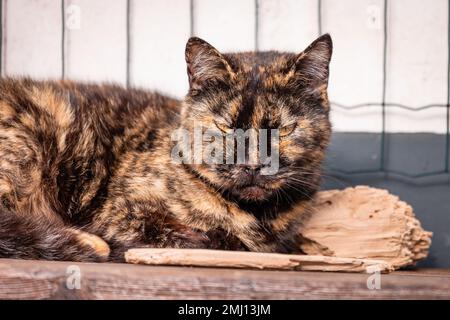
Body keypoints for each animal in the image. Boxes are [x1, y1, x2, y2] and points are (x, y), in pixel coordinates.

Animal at [0, 33, 330, 262]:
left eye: (284, 129)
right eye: (225, 126)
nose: (252, 165)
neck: (258, 215)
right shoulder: (121, 213)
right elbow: (203, 236)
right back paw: (90, 244)